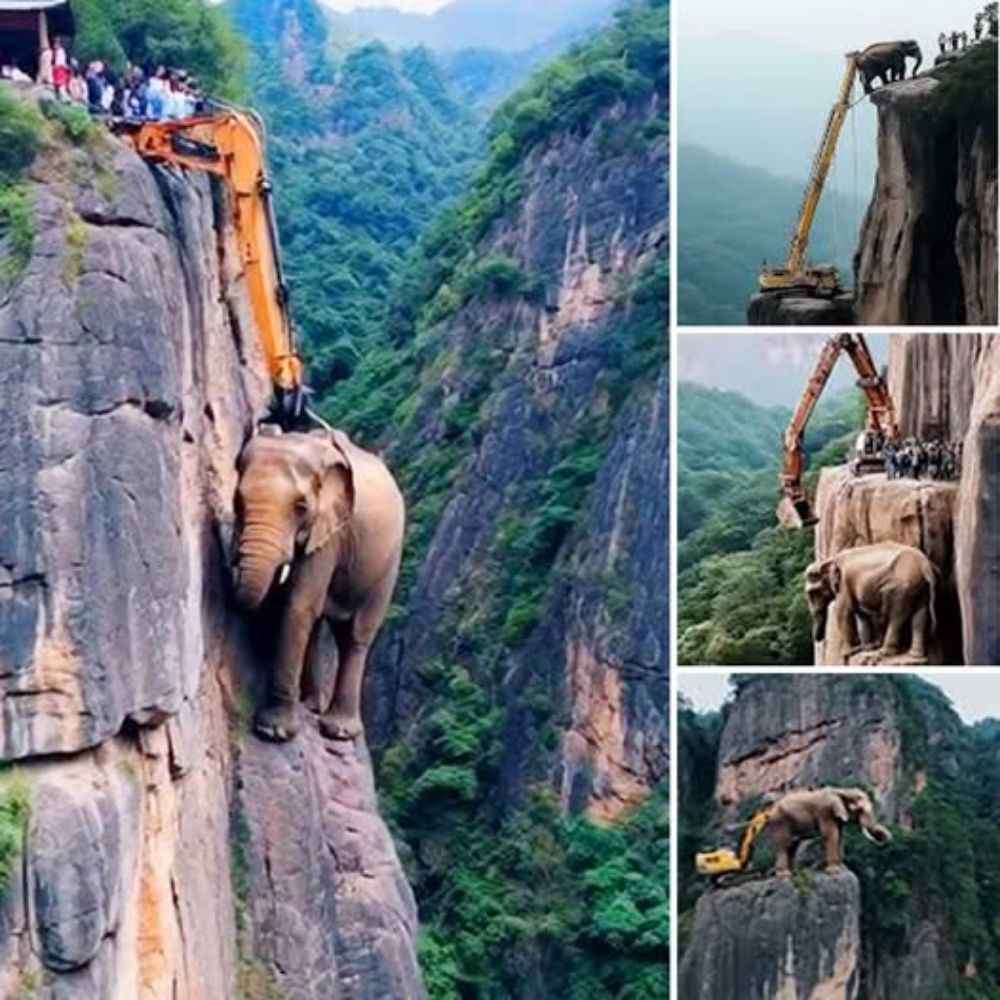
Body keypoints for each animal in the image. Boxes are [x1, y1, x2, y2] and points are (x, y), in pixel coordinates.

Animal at [232, 424, 404, 744]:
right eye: (238, 499)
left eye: (301, 506)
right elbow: (296, 608)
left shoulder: (331, 532)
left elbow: (298, 604)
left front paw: (273, 731)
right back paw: (310, 705)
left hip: (388, 564)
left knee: (356, 635)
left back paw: (338, 730)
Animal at [764, 784, 892, 872]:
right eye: (859, 810)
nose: (881, 842)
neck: (843, 791)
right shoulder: (825, 811)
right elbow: (831, 834)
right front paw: (834, 870)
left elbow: (840, 835)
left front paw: (841, 867)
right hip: (779, 820)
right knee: (783, 843)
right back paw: (784, 875)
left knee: (792, 845)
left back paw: (793, 872)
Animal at [804, 540, 936, 664]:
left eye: (813, 592)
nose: (819, 639)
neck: (830, 560)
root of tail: (925, 566)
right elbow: (861, 613)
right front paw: (867, 648)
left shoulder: (844, 585)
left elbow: (843, 612)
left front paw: (849, 653)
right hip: (919, 587)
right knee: (920, 616)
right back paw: (914, 656)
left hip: (902, 588)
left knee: (897, 616)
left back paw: (883, 652)